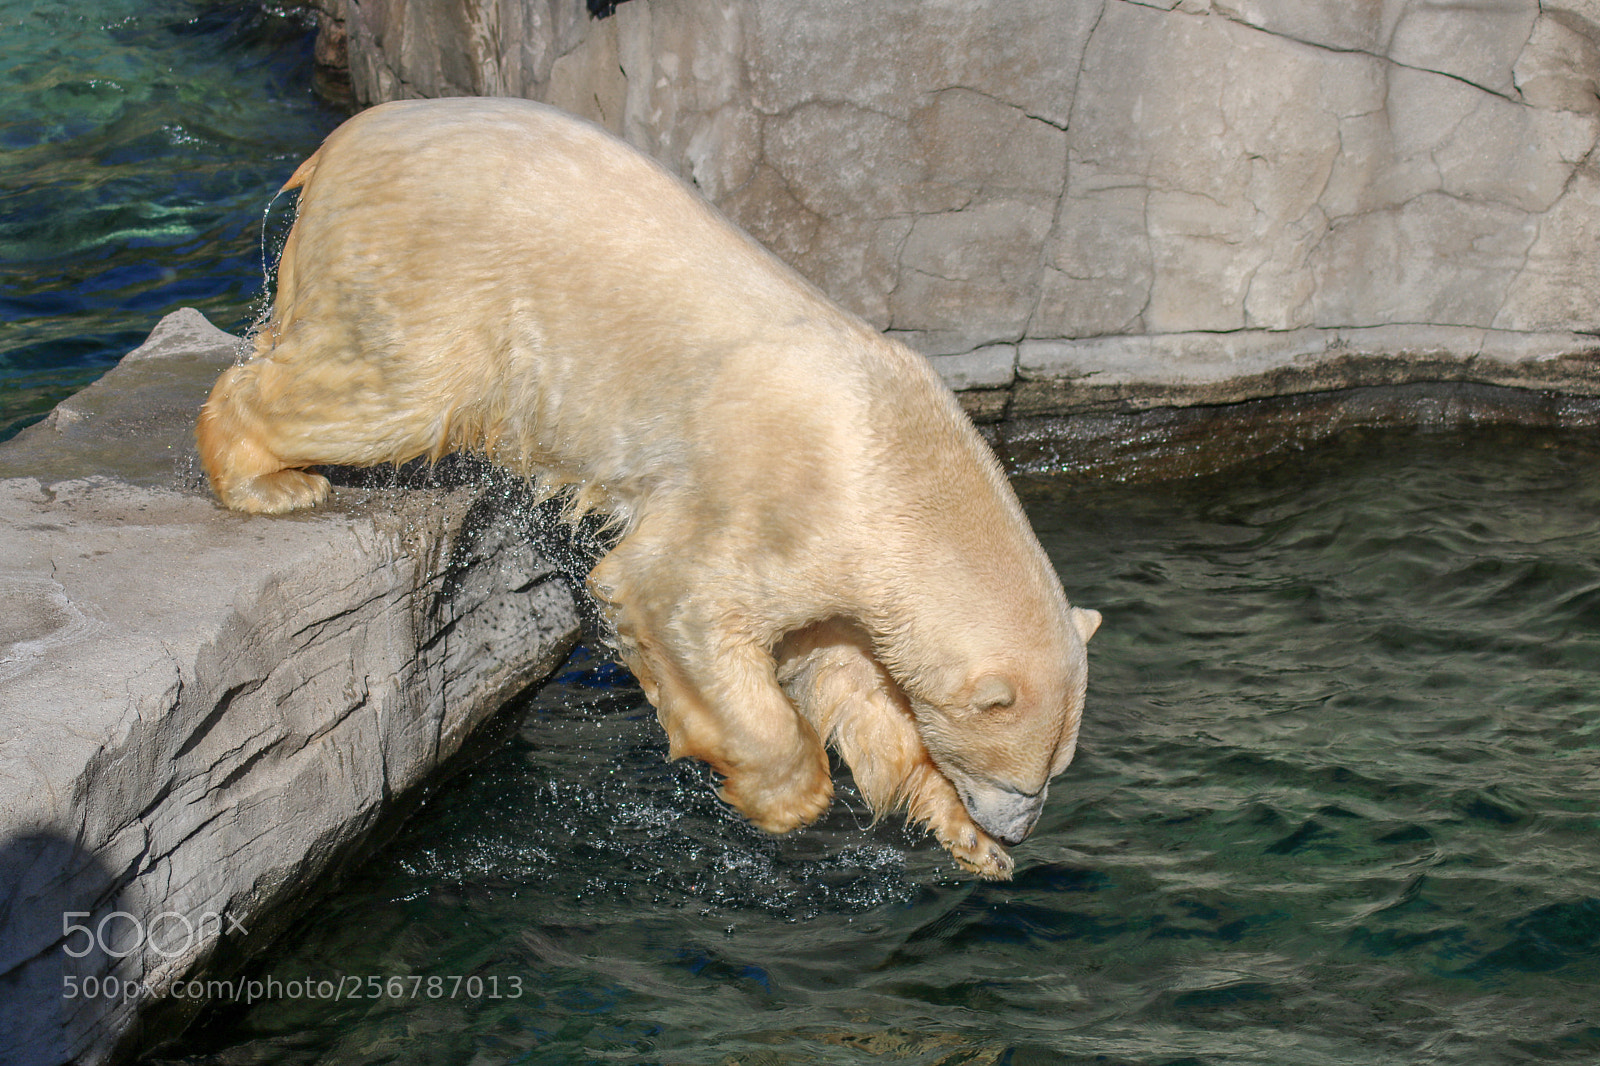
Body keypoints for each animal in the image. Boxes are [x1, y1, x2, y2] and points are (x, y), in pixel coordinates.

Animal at [196, 97, 1100, 880]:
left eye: (1054, 772)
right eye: (1025, 779)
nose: (1017, 829)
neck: (893, 455)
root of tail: (342, 142)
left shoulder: (854, 574)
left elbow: (850, 680)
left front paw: (963, 839)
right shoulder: (781, 503)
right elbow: (678, 595)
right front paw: (782, 797)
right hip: (433, 276)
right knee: (392, 391)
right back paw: (269, 480)